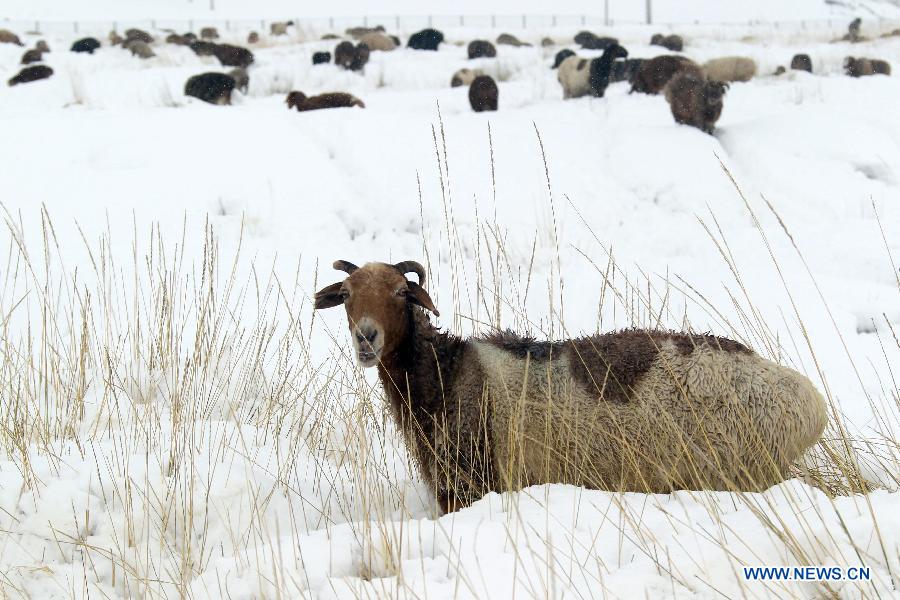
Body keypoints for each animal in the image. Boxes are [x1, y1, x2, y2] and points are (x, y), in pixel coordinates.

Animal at [314, 260, 828, 512]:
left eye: (403, 292)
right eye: (345, 295)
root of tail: (809, 401)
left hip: (740, 472)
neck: (446, 375)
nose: (366, 338)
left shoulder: (471, 485)